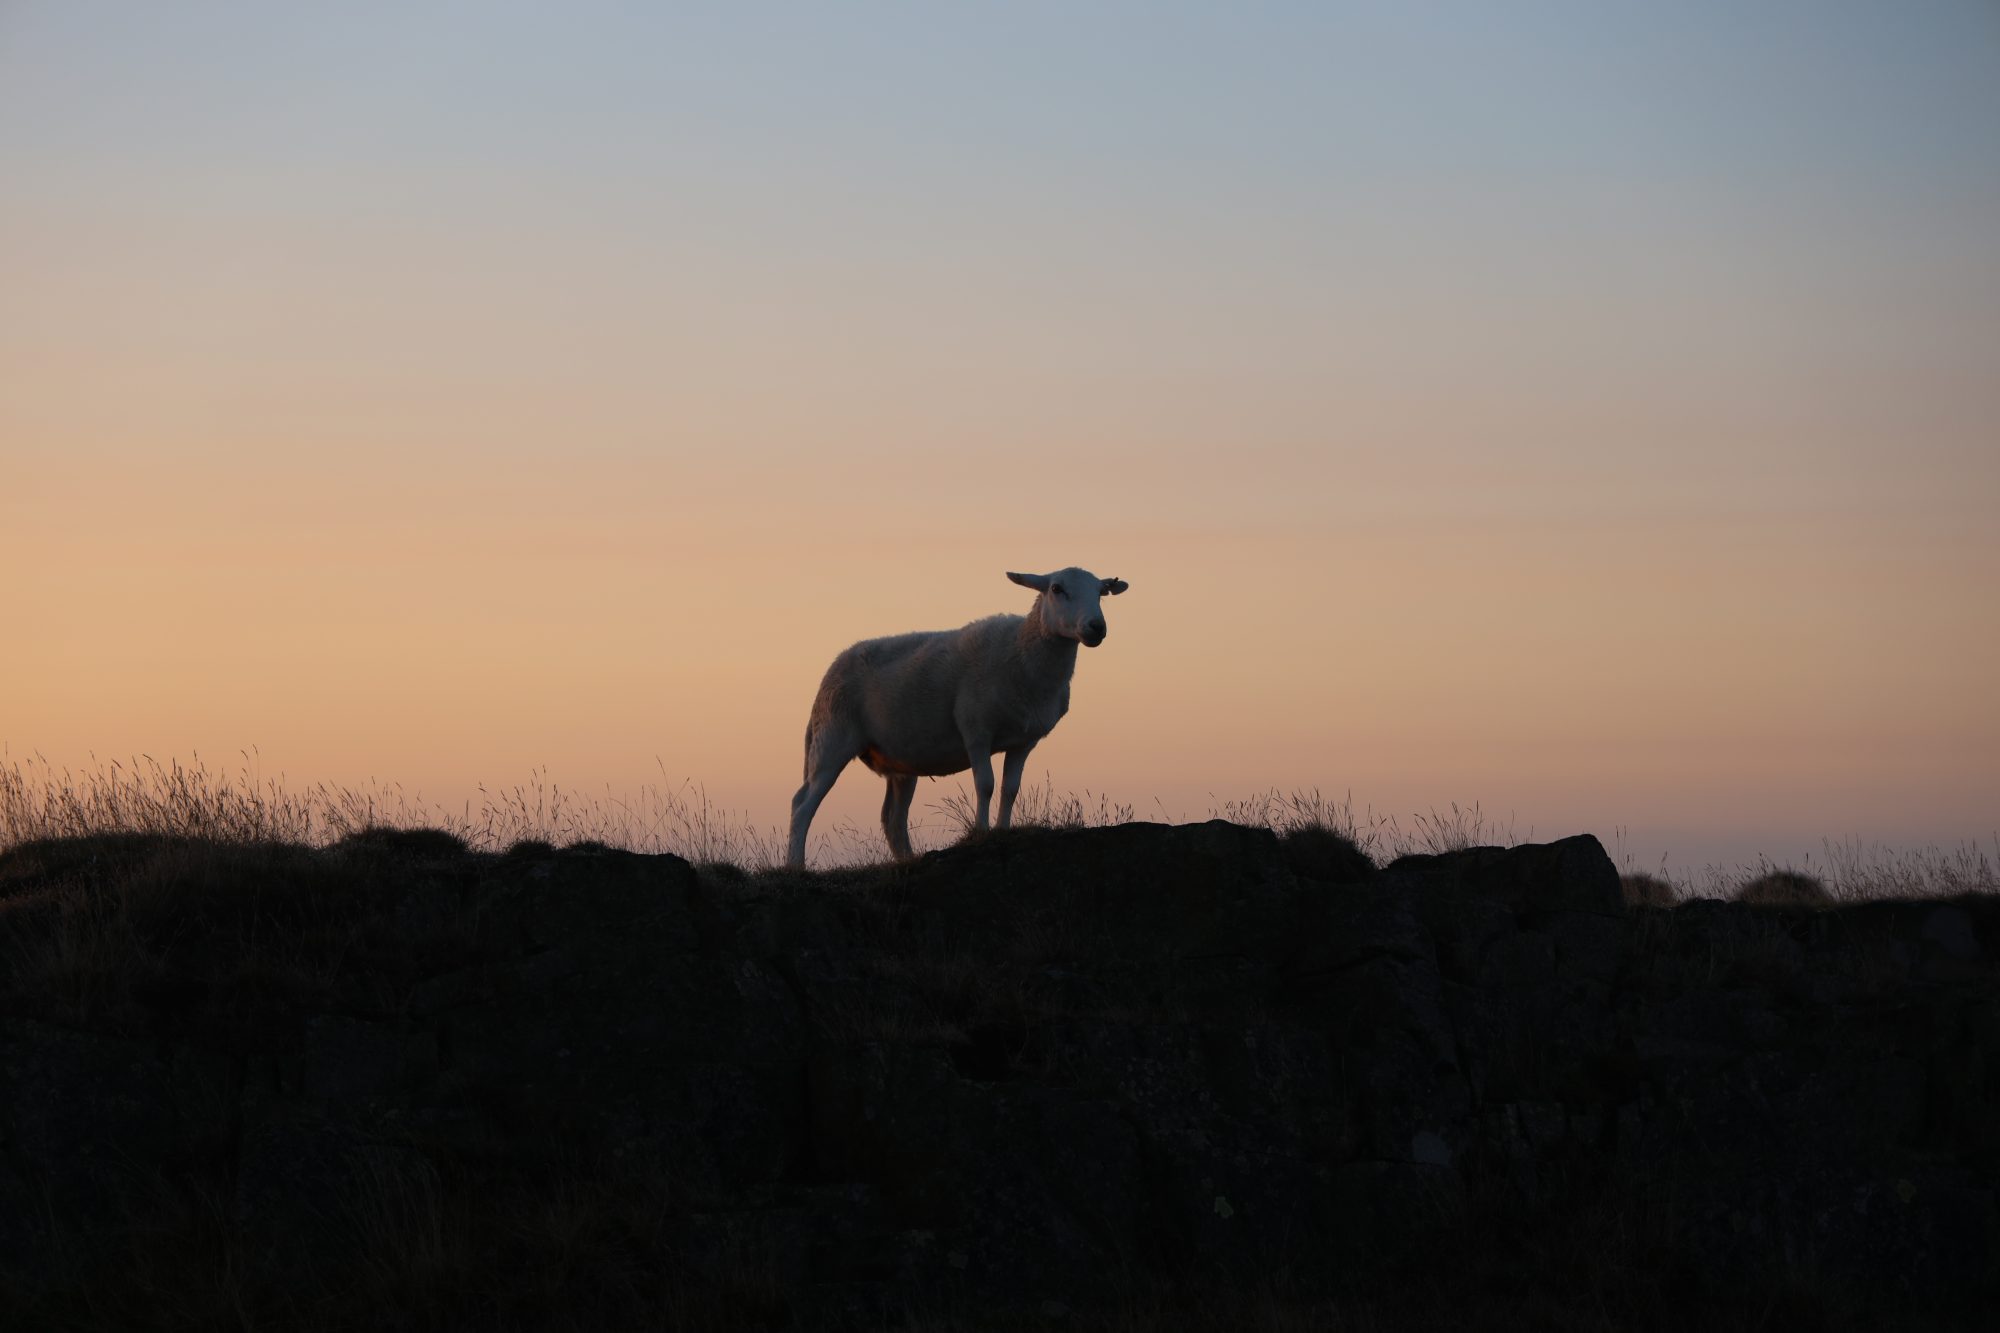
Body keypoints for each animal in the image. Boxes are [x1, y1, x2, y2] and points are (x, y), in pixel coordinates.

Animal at [786, 566, 1129, 870]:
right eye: (1057, 589)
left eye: (1101, 592)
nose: (1096, 627)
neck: (1022, 652)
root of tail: (835, 663)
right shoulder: (975, 729)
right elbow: (986, 784)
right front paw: (981, 831)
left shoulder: (1024, 740)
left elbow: (1010, 788)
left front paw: (1003, 830)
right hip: (833, 736)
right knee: (802, 804)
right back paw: (795, 865)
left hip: (900, 761)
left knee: (892, 818)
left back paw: (908, 859)